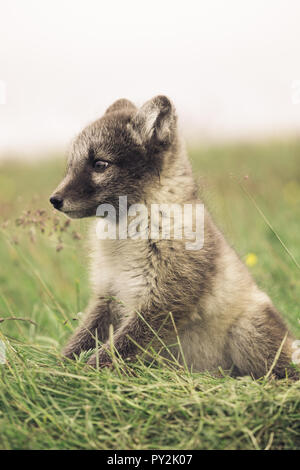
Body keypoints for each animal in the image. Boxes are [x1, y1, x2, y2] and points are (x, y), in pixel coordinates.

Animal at [50, 94, 296, 378]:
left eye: (100, 164)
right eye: (71, 165)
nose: (54, 200)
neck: (127, 236)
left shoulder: (164, 301)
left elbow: (119, 346)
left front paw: (85, 375)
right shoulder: (108, 295)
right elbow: (81, 339)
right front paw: (53, 369)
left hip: (247, 331)